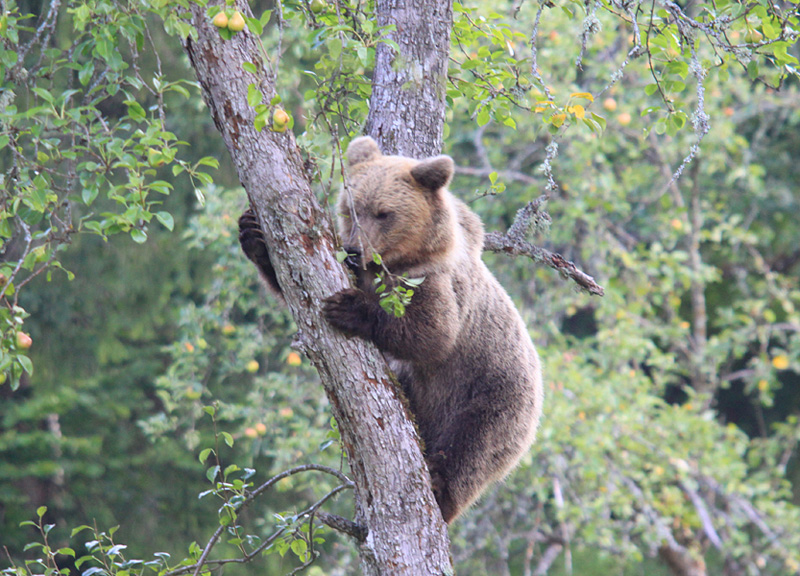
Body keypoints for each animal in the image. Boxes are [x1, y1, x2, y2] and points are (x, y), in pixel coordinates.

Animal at [239, 137, 544, 524]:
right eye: (349, 208)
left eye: (384, 213)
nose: (354, 250)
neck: (396, 260)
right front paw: (253, 233)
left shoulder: (433, 282)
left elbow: (431, 333)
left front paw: (349, 308)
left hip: (495, 395)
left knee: (473, 448)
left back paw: (441, 488)